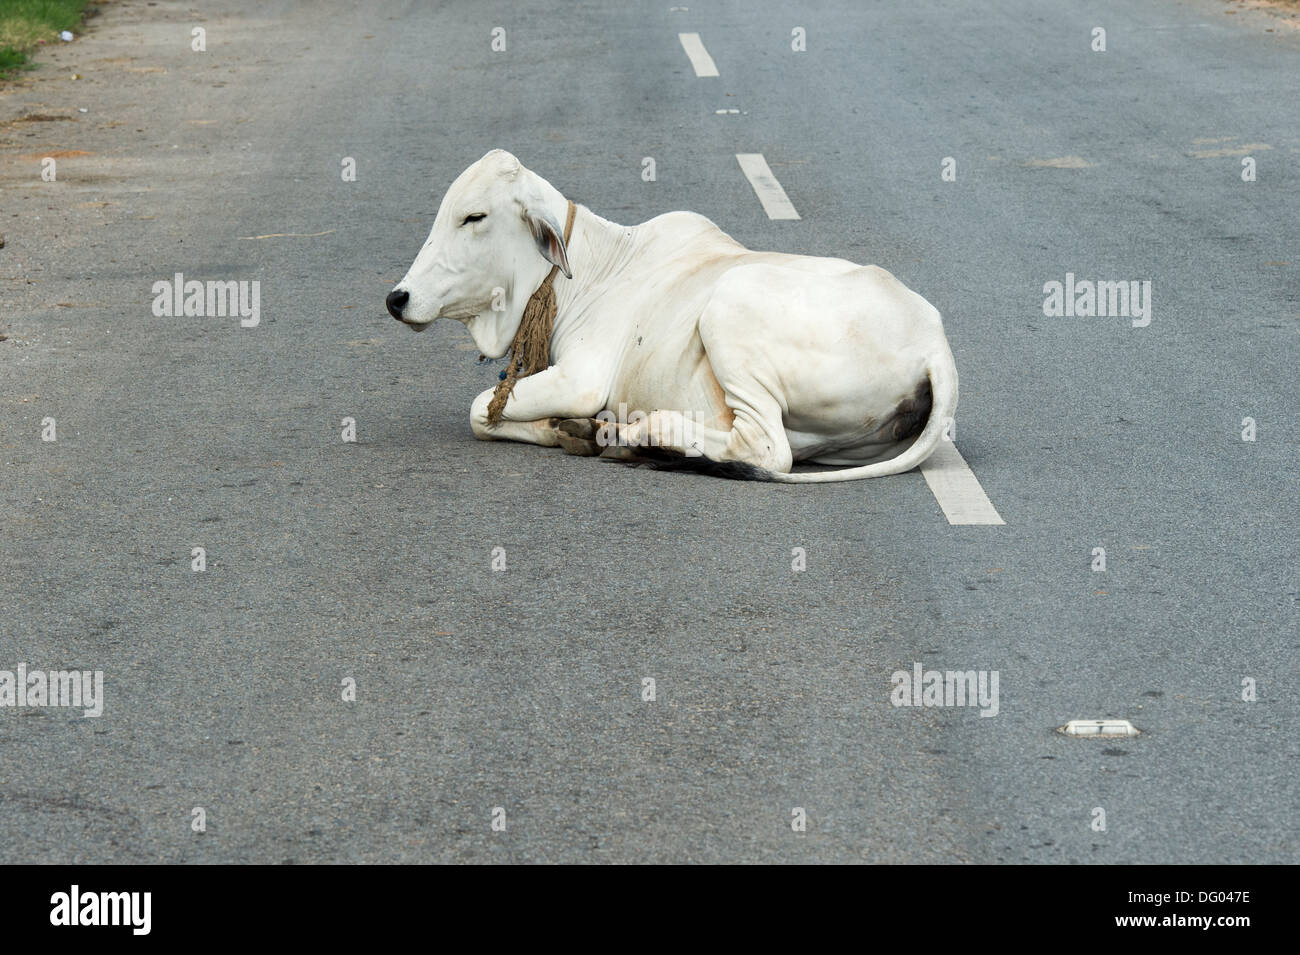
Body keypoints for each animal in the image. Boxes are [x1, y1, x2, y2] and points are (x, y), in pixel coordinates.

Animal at [384, 150, 956, 485]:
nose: (398, 298)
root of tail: (934, 346)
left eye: (474, 216)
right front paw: (570, 429)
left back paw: (637, 431)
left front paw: (570, 427)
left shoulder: (581, 379)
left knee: (767, 450)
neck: (594, 269)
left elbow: (480, 412)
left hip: (731, 305)